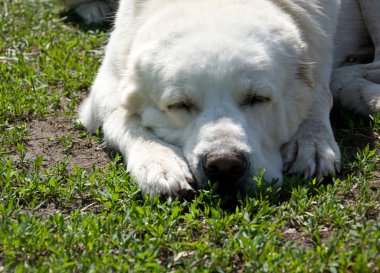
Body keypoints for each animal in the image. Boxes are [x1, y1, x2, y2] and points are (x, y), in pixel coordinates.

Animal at [75, 0, 378, 196]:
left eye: (257, 99)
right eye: (181, 105)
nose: (224, 164)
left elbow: (318, 95)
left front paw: (312, 142)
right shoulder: (106, 84)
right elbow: (123, 118)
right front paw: (158, 162)